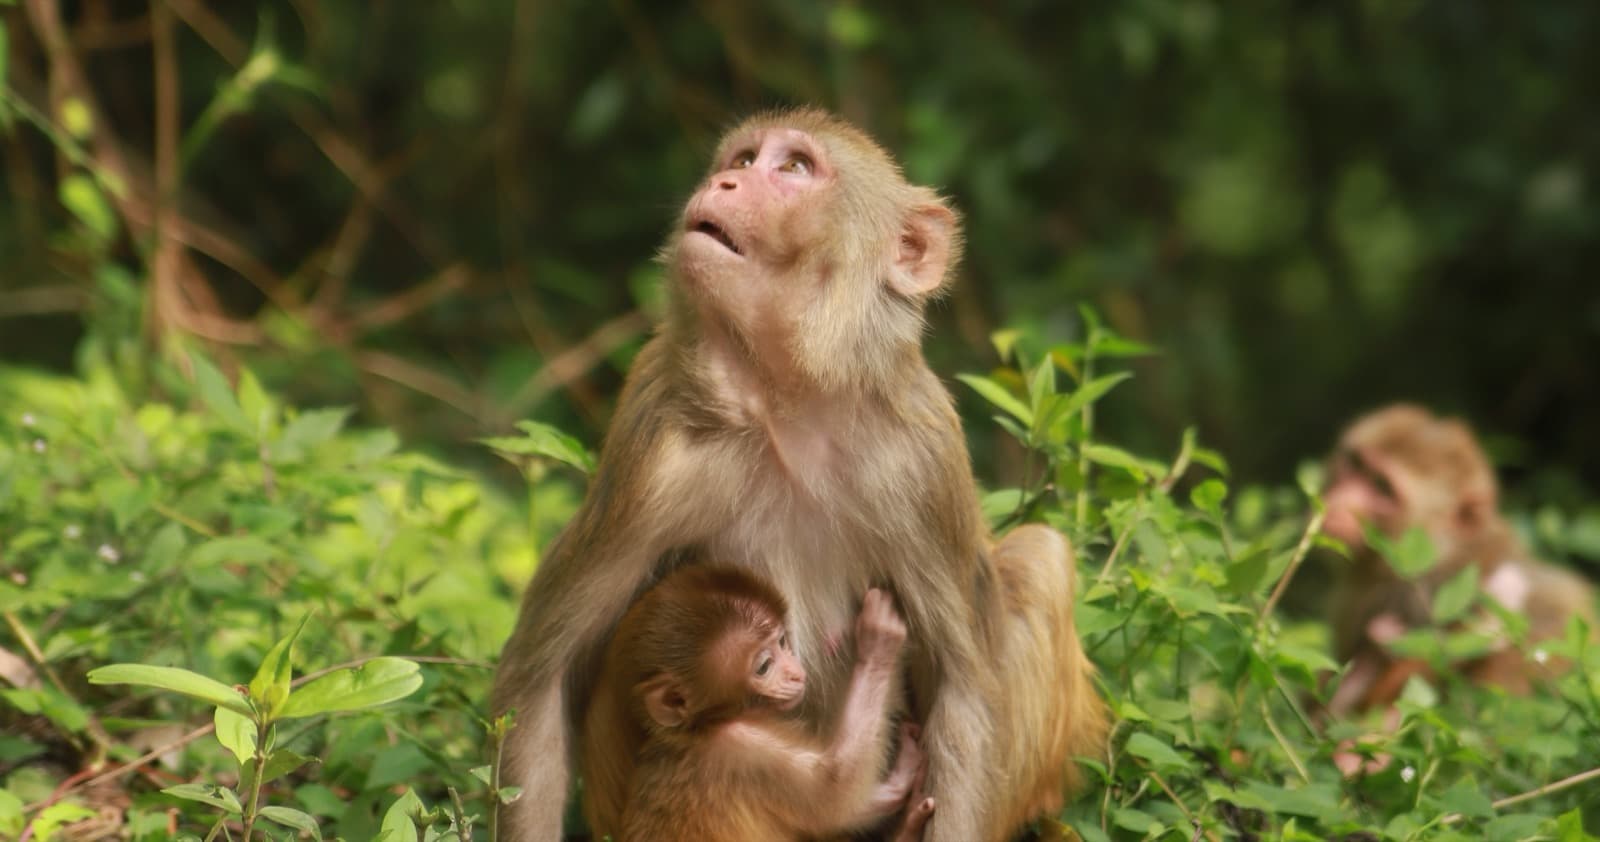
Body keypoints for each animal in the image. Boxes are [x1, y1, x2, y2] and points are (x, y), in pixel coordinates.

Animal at [582, 564, 933, 842]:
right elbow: (839, 792)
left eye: (782, 641)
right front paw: (878, 641)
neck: (699, 728)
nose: (795, 673)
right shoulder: (739, 750)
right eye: (765, 666)